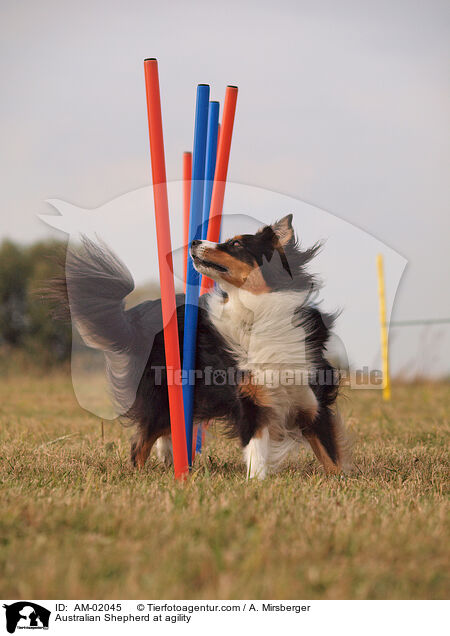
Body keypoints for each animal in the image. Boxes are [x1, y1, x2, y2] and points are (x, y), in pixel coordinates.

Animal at [51, 214, 350, 476]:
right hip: (161, 397)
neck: (260, 313)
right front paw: (256, 484)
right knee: (139, 445)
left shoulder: (311, 398)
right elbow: (256, 452)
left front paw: (338, 482)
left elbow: (331, 457)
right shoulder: (250, 398)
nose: (194, 242)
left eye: (236, 244)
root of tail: (136, 316)